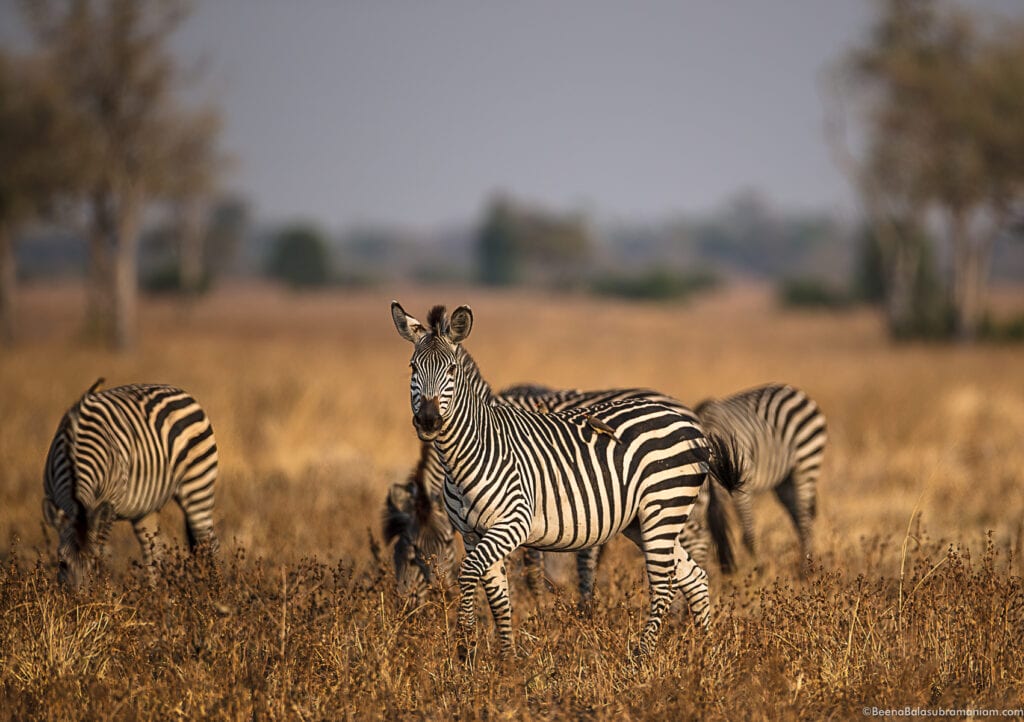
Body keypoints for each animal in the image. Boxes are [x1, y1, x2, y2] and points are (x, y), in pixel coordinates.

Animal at [43, 376, 219, 585]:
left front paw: (101, 588)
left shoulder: (109, 504)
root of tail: (177, 389)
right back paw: (156, 593)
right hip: (146, 508)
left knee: (208, 541)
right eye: (61, 563)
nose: (78, 595)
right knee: (154, 553)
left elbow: (100, 544)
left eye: (94, 563)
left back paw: (214, 588)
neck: (74, 455)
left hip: (198, 484)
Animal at [391, 301, 745, 655]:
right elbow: (498, 596)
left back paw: (643, 655)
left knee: (664, 583)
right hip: (642, 520)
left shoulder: (514, 521)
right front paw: (504, 659)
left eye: (451, 370)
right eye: (412, 367)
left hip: (666, 506)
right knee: (694, 576)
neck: (471, 451)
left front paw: (467, 646)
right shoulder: (473, 532)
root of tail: (689, 420)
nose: (429, 421)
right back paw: (705, 650)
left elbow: (477, 573)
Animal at [692, 380, 827, 573]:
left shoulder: (742, 484)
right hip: (784, 481)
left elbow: (748, 533)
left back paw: (805, 572)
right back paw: (806, 566)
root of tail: (796, 392)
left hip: (807, 462)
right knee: (798, 517)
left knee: (804, 521)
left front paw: (760, 571)